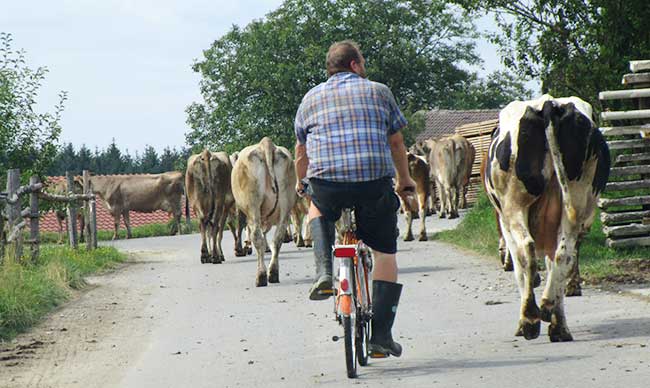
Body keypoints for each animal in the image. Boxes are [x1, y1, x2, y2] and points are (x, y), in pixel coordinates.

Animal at [230, 136, 296, 284]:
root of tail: (265, 143)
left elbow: (245, 228)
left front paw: (244, 247)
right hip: (286, 204)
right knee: (277, 239)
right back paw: (273, 273)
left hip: (252, 205)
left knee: (256, 236)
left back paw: (261, 276)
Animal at [484, 95, 612, 342]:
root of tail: (549, 104)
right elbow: (555, 265)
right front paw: (558, 324)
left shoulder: (506, 224)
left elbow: (519, 270)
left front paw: (525, 323)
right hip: (576, 204)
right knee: (564, 256)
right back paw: (549, 311)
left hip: (514, 205)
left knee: (527, 249)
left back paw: (531, 317)